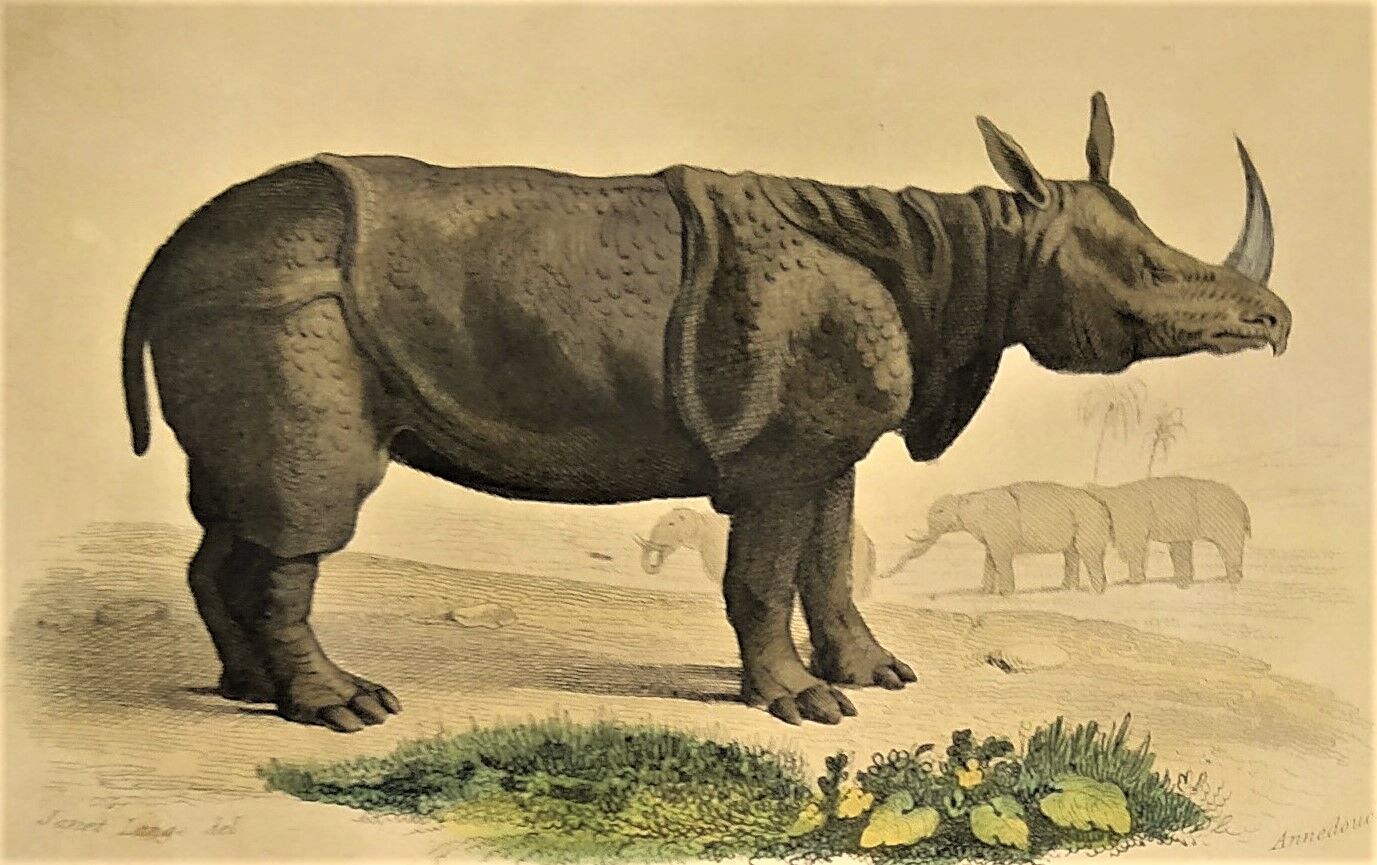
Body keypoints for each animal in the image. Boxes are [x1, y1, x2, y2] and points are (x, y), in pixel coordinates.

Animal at [121, 92, 1289, 732]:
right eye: (1150, 273)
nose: (1273, 323)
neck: (971, 260)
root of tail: (165, 252)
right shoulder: (777, 450)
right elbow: (765, 573)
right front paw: (803, 707)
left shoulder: (826, 443)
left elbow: (829, 558)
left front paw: (877, 676)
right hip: (278, 296)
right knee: (307, 503)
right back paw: (345, 710)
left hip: (240, 291)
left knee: (237, 504)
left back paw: (244, 690)